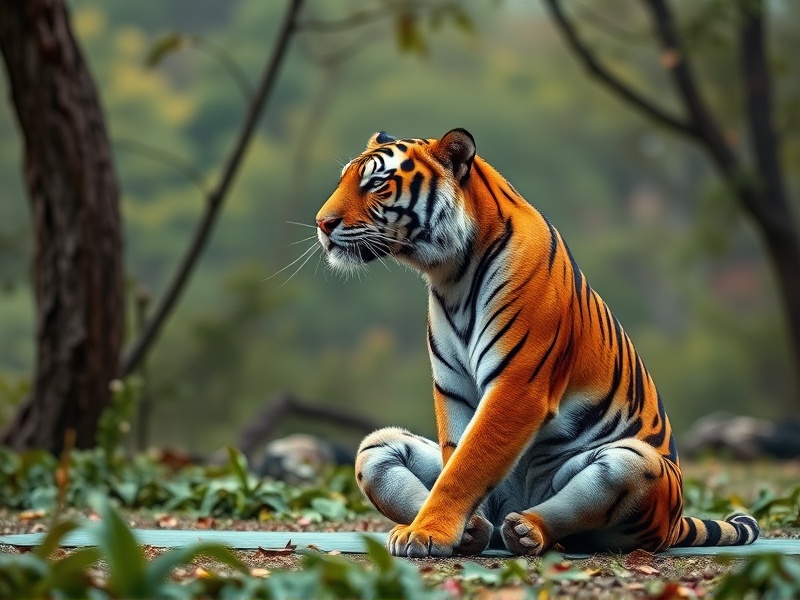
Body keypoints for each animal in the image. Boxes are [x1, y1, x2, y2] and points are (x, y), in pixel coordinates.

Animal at [315, 128, 760, 558]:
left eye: (377, 184)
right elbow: (456, 453)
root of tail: (677, 521)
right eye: (343, 181)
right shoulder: (452, 385)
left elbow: (467, 463)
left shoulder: (518, 383)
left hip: (634, 461)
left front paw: (426, 533)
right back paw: (477, 531)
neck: (451, 273)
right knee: (383, 452)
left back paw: (527, 530)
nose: (322, 223)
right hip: (376, 446)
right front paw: (443, 529)